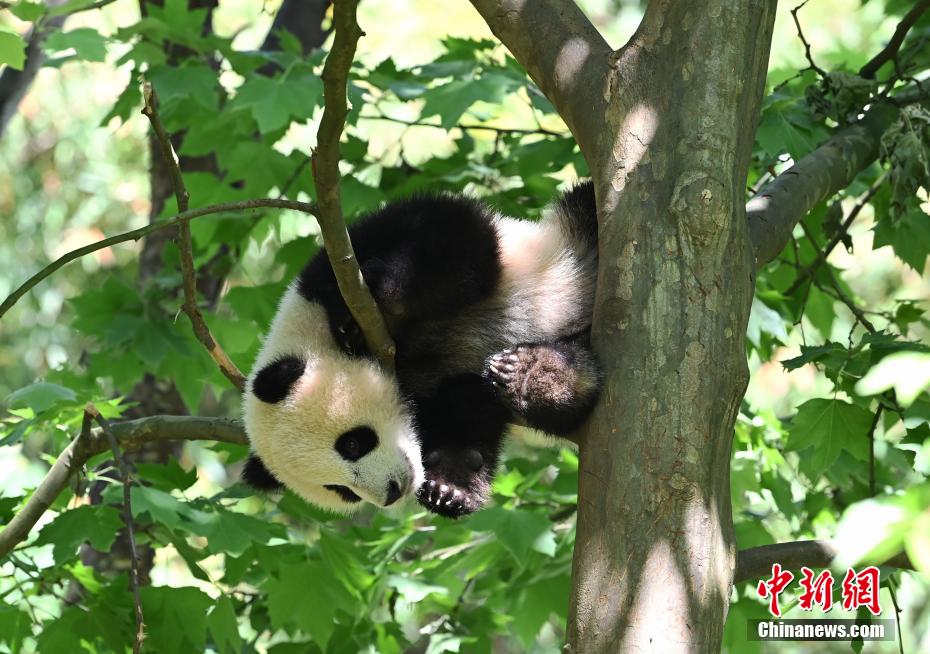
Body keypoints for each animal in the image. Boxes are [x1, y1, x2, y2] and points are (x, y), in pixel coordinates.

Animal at [241, 182, 600, 520]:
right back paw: (540, 376)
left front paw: (374, 301)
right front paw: (449, 487)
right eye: (341, 490)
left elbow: (452, 238)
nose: (391, 491)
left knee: (585, 206)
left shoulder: (347, 253)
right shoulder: (447, 389)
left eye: (352, 444)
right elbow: (466, 416)